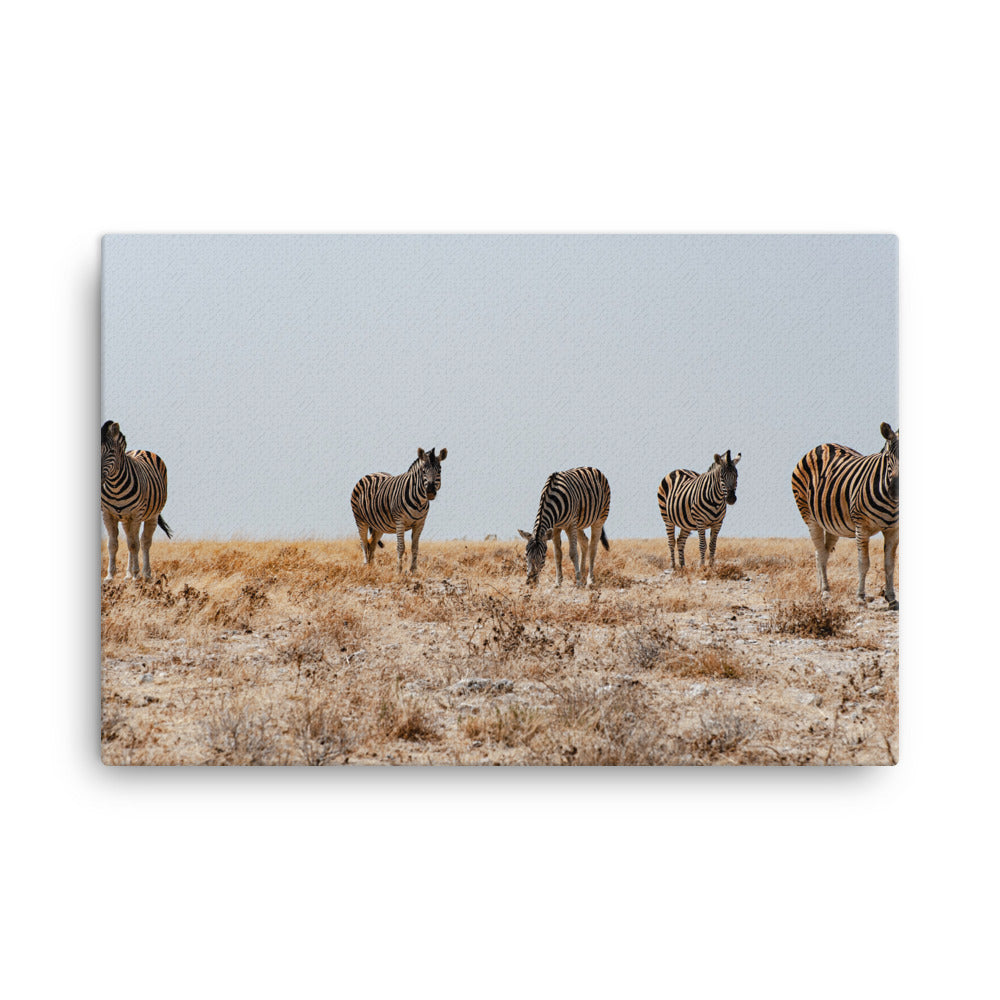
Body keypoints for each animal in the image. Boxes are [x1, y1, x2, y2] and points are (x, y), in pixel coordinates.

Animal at [101, 420, 173, 581]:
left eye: (112, 452)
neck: (115, 486)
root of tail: (141, 450)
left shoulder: (136, 514)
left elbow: (134, 544)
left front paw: (136, 575)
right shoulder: (108, 515)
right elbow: (112, 544)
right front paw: (110, 576)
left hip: (152, 515)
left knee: (144, 542)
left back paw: (146, 574)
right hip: (126, 519)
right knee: (129, 538)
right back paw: (128, 574)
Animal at [791, 422, 899, 609]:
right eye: (887, 457)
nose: (895, 490)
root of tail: (822, 445)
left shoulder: (894, 529)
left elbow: (890, 564)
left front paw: (891, 598)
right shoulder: (862, 526)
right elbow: (863, 563)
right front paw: (860, 597)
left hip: (832, 523)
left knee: (821, 553)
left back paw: (821, 588)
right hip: (809, 516)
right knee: (821, 552)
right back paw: (825, 592)